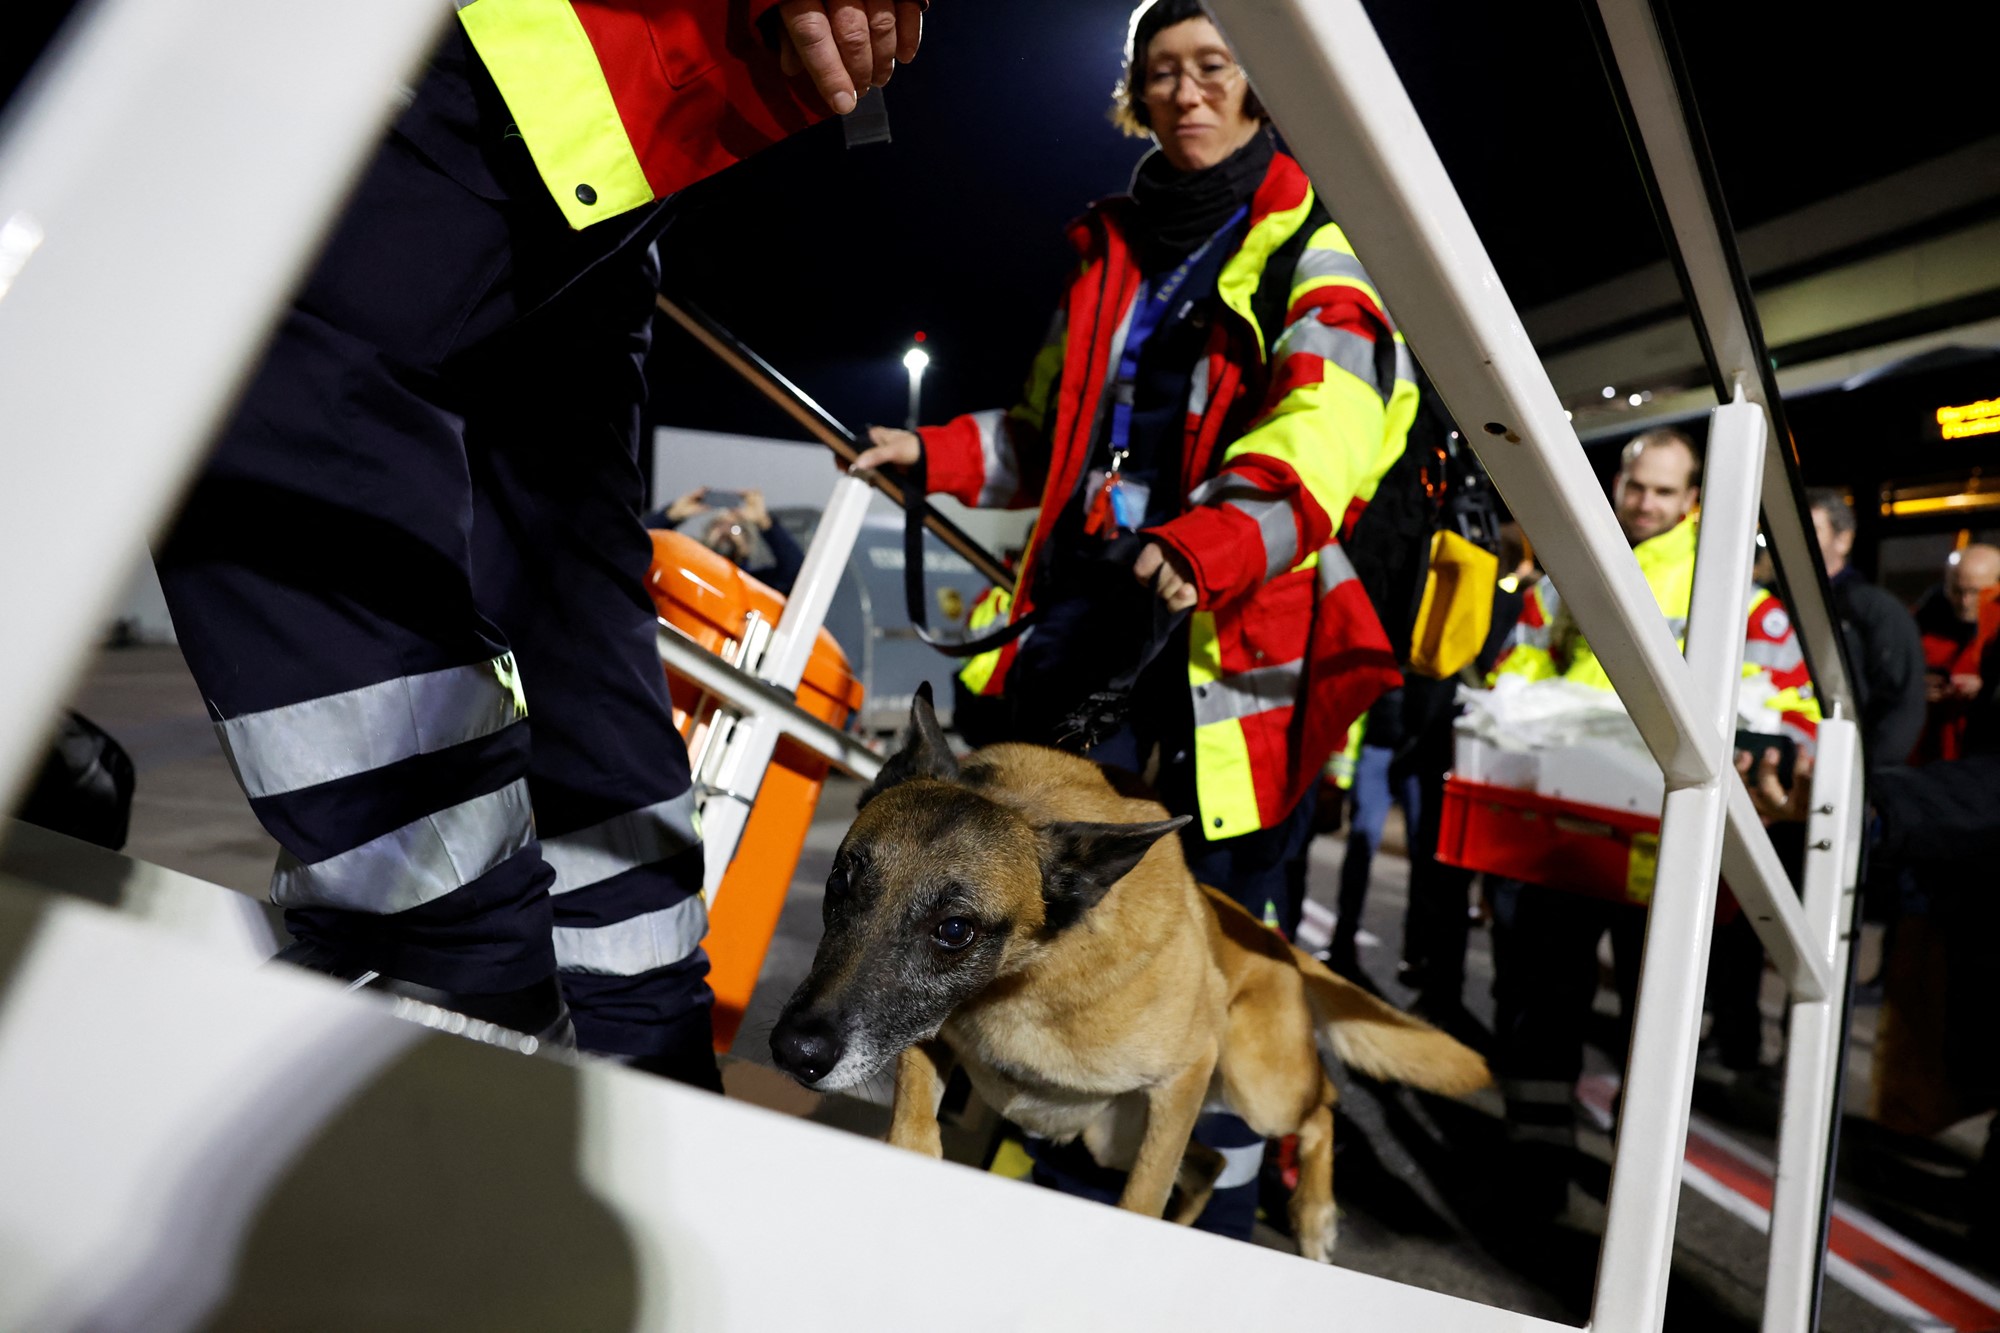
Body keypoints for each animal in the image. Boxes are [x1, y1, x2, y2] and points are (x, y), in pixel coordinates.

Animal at [772, 684, 1496, 1256]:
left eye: (955, 931)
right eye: (840, 882)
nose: (793, 1051)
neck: (1028, 977)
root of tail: (1270, 936)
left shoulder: (1183, 1076)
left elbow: (1141, 1199)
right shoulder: (928, 1036)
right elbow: (915, 1129)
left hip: (1255, 1088)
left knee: (1324, 1107)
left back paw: (1314, 1217)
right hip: (1114, 1136)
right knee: (1209, 1163)